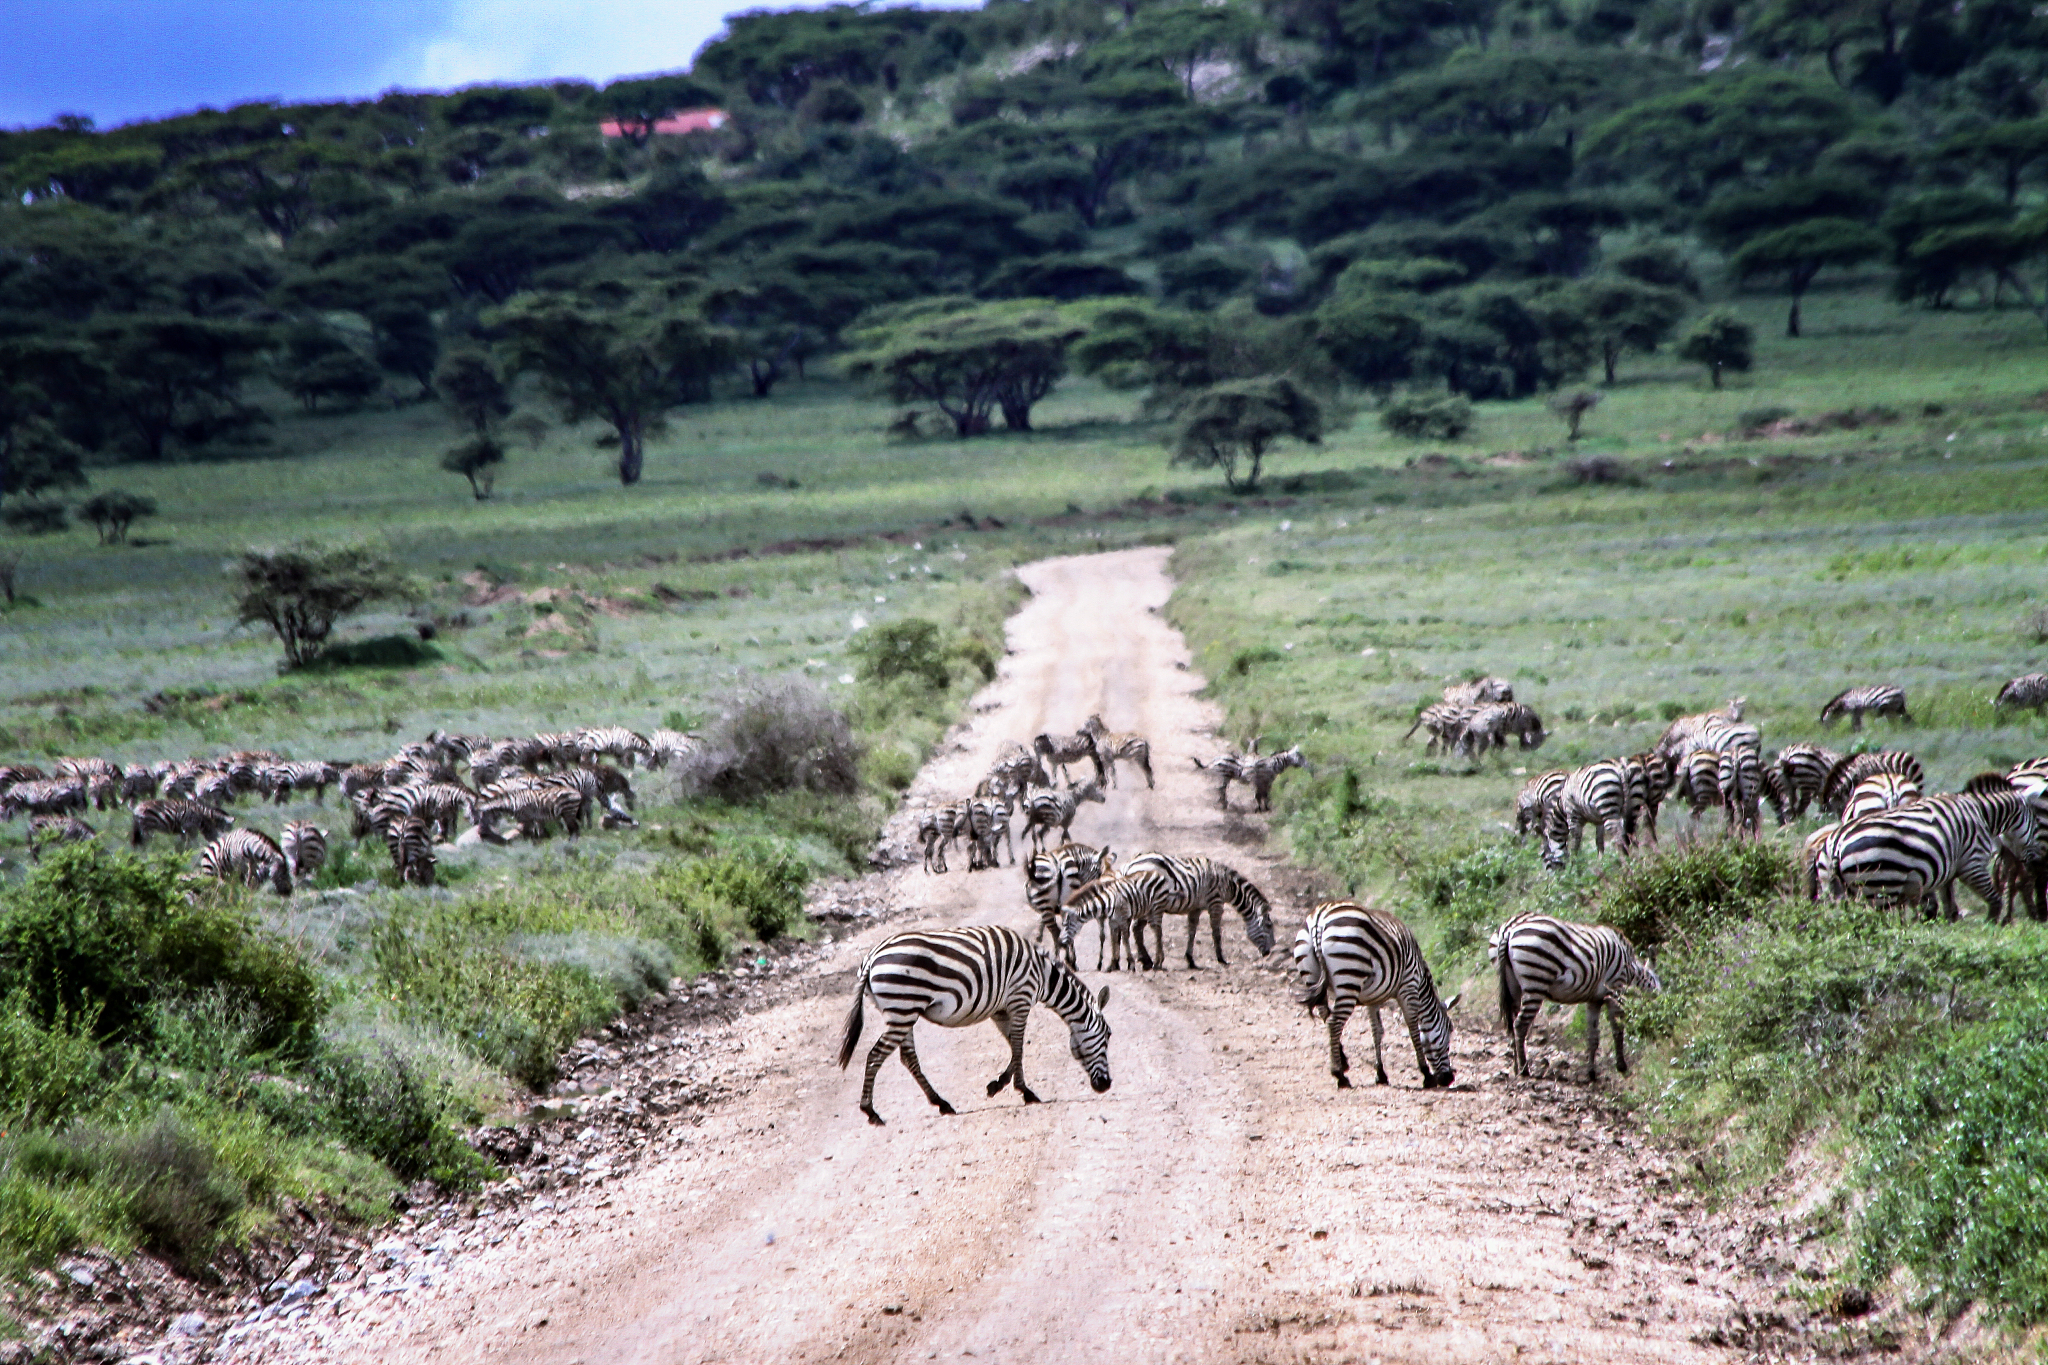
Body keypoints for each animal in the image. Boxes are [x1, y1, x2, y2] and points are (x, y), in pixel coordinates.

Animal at [836, 925, 1112, 1126]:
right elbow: (1019, 1046)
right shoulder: (1020, 998)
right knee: (875, 1055)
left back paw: (941, 1103)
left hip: (901, 1011)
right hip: (903, 1007)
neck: (1043, 975)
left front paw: (997, 1085)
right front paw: (1025, 1091)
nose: (1106, 1086)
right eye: (1108, 1036)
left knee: (907, 1058)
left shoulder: (1001, 1009)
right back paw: (871, 1112)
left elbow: (1014, 1047)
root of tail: (871, 958)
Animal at [1118, 852, 1276, 969]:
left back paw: (1146, 961)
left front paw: (1190, 959)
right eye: (1268, 926)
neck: (1229, 885)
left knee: (1137, 928)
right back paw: (1148, 960)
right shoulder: (1216, 903)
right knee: (1137, 928)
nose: (1269, 953)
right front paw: (1221, 958)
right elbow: (1216, 932)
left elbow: (1192, 931)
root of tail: (1129, 864)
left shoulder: (1196, 907)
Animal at [1293, 901, 1458, 1090]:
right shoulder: (1408, 987)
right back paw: (1339, 1075)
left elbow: (1377, 1031)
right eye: (1449, 1031)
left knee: (1325, 1015)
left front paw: (1381, 1074)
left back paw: (1342, 1062)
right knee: (1334, 1023)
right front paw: (1426, 1074)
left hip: (1311, 974)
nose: (1449, 1079)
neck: (1421, 980)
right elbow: (1413, 1029)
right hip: (1349, 977)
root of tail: (1319, 918)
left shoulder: (1373, 998)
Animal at [1492, 914, 1660, 1082]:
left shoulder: (1594, 1000)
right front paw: (1622, 1067)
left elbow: (1593, 1036)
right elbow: (1617, 1029)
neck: (1631, 971)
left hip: (1513, 986)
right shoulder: (1615, 990)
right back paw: (1524, 1069)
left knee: (1512, 1022)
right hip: (1536, 982)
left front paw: (1591, 1073)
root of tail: (1509, 931)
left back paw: (1515, 1066)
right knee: (1520, 1024)